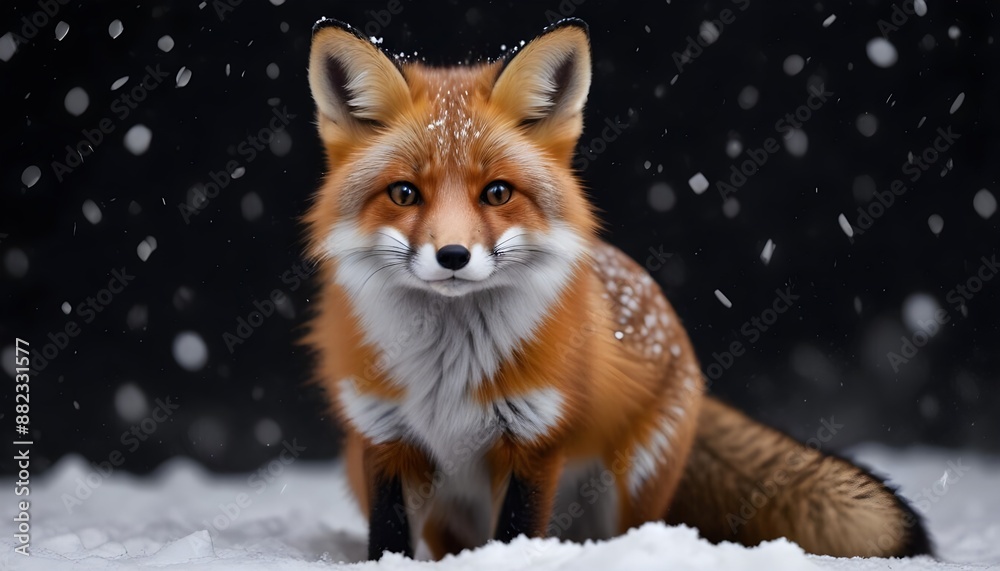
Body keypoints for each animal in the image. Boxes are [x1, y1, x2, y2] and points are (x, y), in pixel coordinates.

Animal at [303, 17, 932, 561]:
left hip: (630, 485)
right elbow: (388, 542)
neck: (448, 373)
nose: (453, 256)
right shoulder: (385, 437)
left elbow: (514, 536)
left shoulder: (535, 440)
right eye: (404, 194)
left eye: (498, 192)